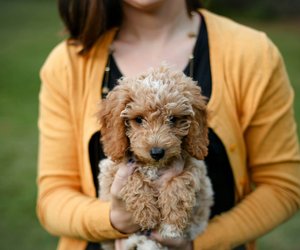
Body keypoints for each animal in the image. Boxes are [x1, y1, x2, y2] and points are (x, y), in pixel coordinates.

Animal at [98, 65, 213, 249]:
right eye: (138, 119)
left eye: (173, 119)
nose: (157, 152)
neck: (154, 166)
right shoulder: (112, 172)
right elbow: (134, 179)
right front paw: (147, 214)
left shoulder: (194, 168)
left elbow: (179, 182)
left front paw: (171, 225)